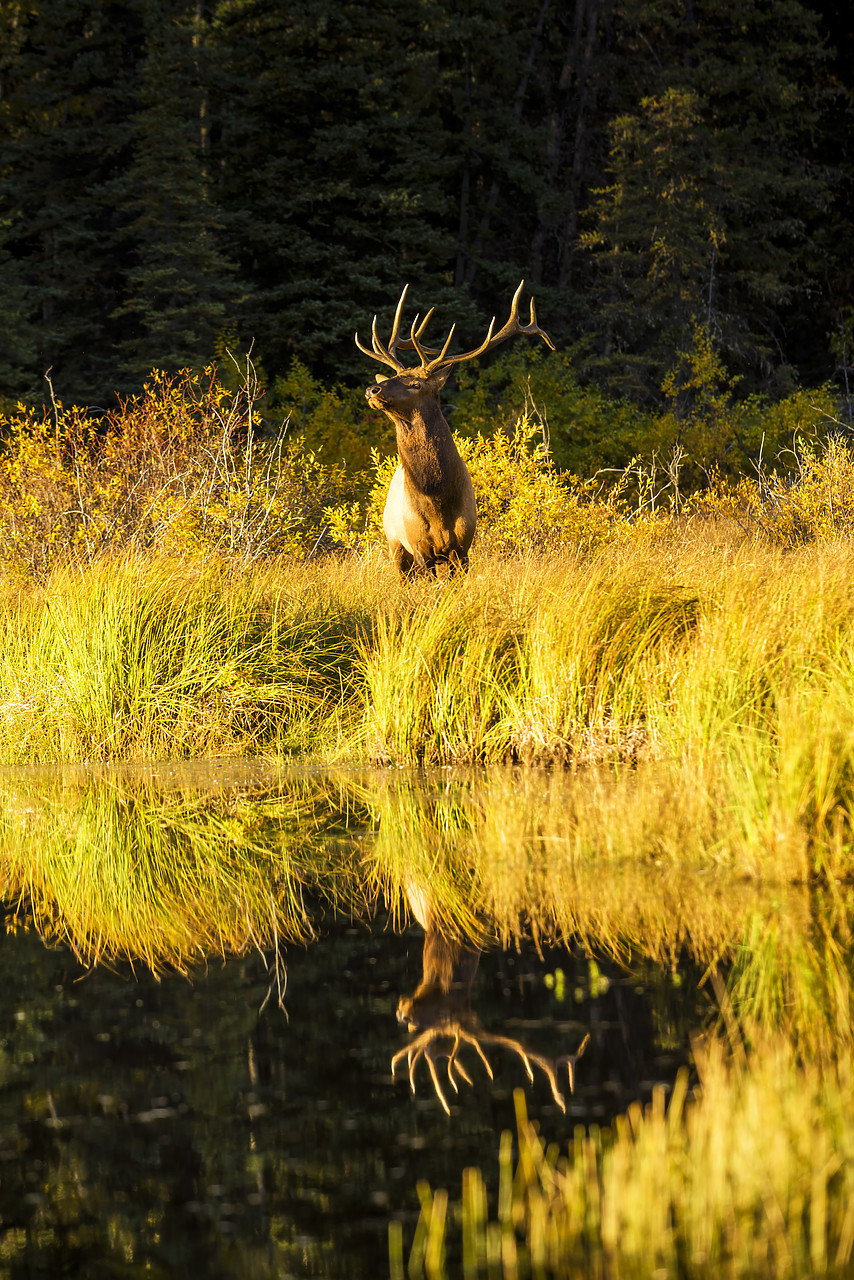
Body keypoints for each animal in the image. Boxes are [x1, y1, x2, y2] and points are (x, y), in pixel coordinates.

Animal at [353, 285, 555, 581]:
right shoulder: (418, 545)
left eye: (416, 384)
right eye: (394, 378)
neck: (437, 500)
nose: (372, 389)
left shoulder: (462, 546)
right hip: (395, 544)